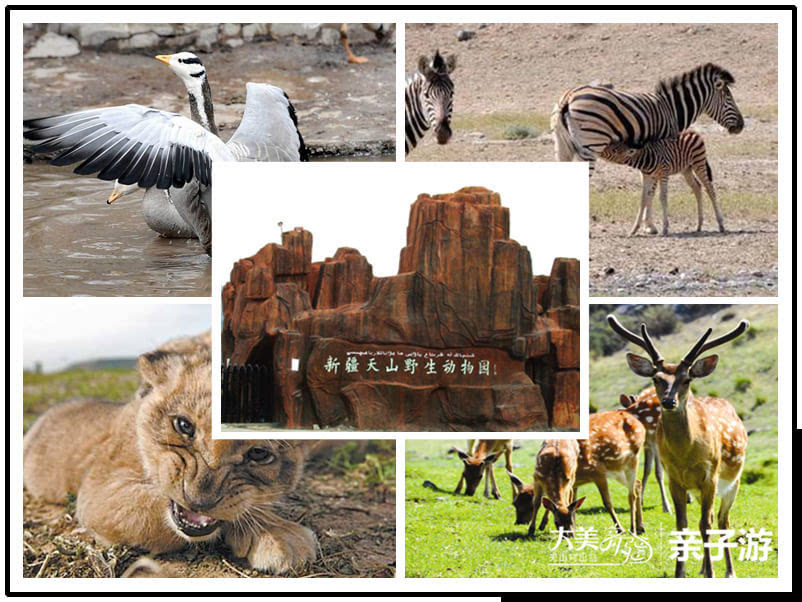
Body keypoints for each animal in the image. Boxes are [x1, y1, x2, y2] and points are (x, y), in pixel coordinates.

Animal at [510, 408, 648, 536]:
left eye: (528, 505)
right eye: (515, 503)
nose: (519, 521)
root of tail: (639, 423)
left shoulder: (597, 471)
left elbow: (607, 502)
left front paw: (620, 529)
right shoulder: (573, 481)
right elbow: (564, 502)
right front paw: (541, 525)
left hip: (633, 458)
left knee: (631, 494)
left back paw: (632, 528)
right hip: (617, 469)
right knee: (637, 483)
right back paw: (640, 527)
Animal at [608, 314, 752, 576]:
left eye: (687, 379)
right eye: (656, 378)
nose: (668, 401)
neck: (687, 455)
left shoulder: (710, 476)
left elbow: (706, 524)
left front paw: (712, 574)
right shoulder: (675, 478)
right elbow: (682, 524)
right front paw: (680, 572)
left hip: (732, 482)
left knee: (722, 520)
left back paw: (728, 570)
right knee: (711, 517)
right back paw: (703, 568)